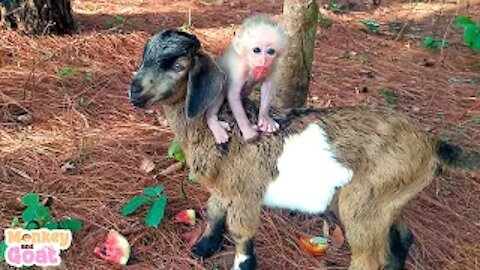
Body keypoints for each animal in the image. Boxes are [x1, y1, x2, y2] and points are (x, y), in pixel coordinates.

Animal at [127, 30, 480, 268]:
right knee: (401, 238)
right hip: (390, 196)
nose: (135, 91)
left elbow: (242, 234)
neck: (221, 126)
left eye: (177, 64)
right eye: (145, 57)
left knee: (369, 256)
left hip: (363, 200)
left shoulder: (245, 191)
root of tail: (432, 144)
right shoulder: (225, 187)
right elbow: (214, 212)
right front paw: (203, 248)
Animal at [205, 14, 286, 146]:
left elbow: (268, 87)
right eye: (256, 50)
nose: (264, 61)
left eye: (270, 51)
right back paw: (214, 122)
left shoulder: (272, 66)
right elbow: (233, 95)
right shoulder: (240, 69)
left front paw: (264, 118)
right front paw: (248, 131)